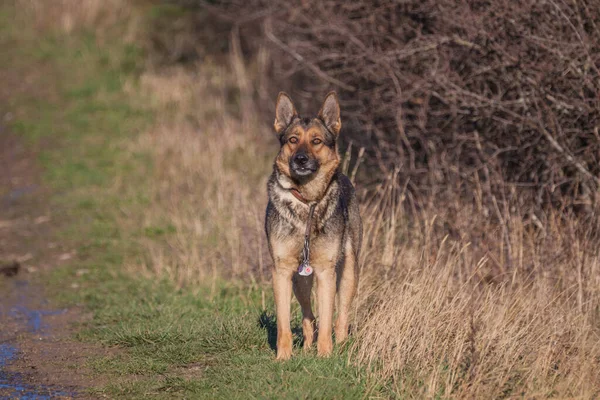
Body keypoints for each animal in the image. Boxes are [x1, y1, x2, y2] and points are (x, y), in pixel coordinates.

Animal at [266, 92, 360, 360]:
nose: (300, 159)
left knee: (341, 317)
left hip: (349, 271)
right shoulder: (282, 270)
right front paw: (283, 357)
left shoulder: (325, 271)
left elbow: (328, 317)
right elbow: (284, 323)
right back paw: (308, 345)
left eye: (316, 141)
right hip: (300, 279)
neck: (306, 202)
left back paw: (341, 346)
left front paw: (325, 355)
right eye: (293, 140)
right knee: (308, 315)